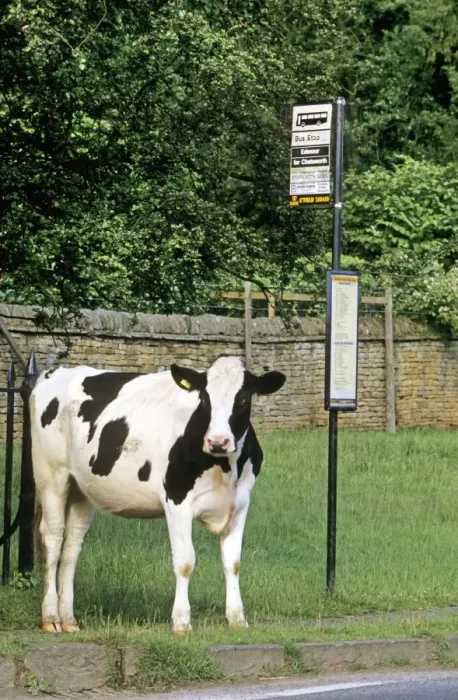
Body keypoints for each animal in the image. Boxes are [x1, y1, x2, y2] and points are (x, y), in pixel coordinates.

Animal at [30, 355, 286, 634]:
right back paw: (51, 618)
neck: (225, 468)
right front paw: (182, 622)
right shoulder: (177, 501)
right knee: (53, 540)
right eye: (204, 399)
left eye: (242, 399)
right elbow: (185, 561)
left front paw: (237, 618)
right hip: (52, 478)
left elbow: (233, 562)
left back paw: (68, 619)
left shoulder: (240, 504)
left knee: (72, 547)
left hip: (80, 489)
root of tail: (54, 374)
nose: (218, 442)